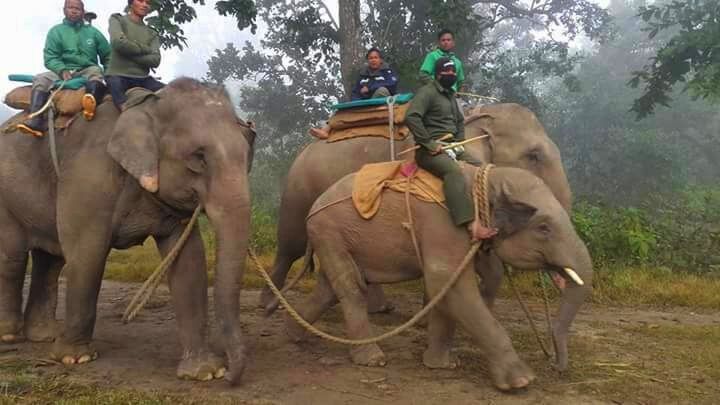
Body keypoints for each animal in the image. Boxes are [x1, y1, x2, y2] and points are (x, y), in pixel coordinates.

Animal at [0, 77, 256, 384]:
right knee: (13, 258)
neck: (147, 106)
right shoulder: (89, 173)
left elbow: (188, 260)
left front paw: (205, 372)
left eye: (247, 156)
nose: (231, 375)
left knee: (50, 261)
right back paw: (10, 336)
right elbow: (87, 254)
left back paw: (44, 335)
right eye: (199, 158)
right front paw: (75, 358)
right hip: (5, 197)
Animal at [262, 102, 572, 310]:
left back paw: (380, 308)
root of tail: (307, 145)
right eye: (534, 156)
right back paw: (268, 303)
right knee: (290, 246)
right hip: (298, 189)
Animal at [286, 163, 592, 390]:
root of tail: (314, 207)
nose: (555, 365)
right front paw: (522, 381)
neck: (486, 178)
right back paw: (373, 360)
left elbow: (445, 288)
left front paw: (442, 365)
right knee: (352, 288)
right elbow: (446, 280)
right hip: (328, 231)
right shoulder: (445, 224)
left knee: (329, 289)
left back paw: (296, 336)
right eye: (543, 228)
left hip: (333, 237)